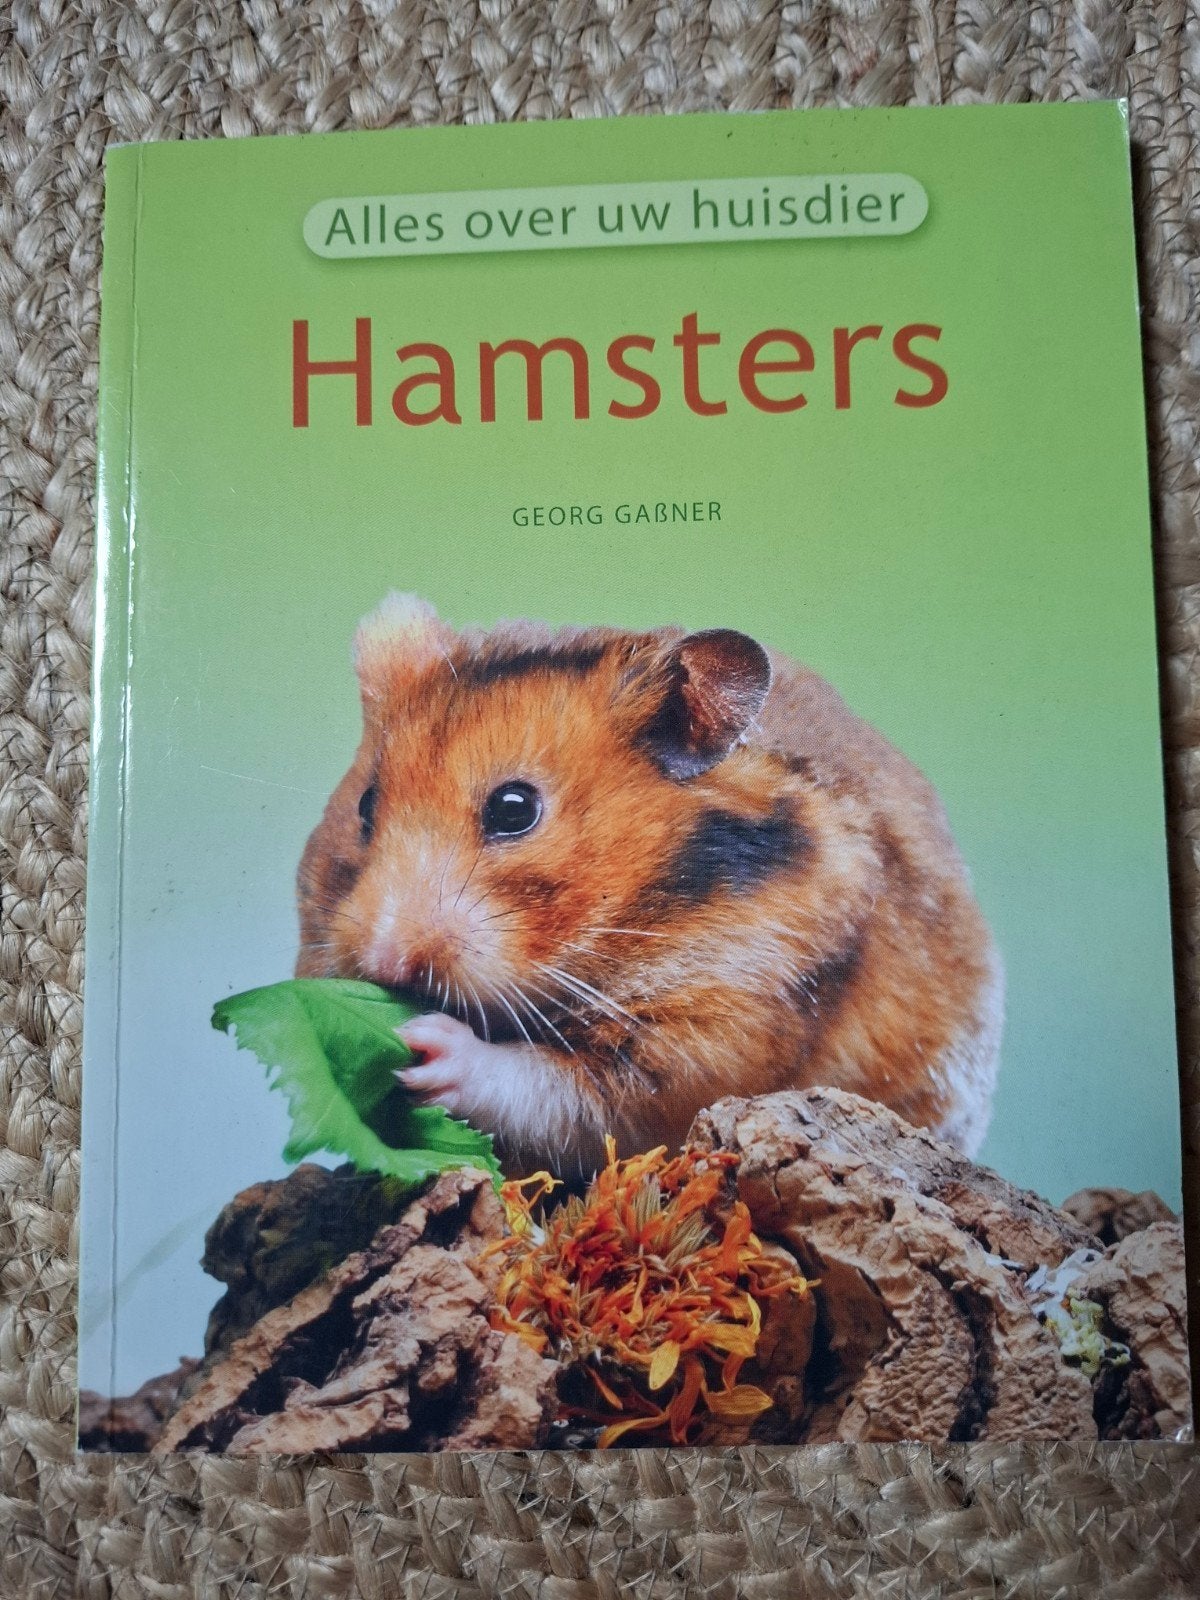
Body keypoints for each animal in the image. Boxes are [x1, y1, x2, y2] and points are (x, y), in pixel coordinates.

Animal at [297, 593, 1003, 1181]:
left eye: (515, 809)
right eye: (365, 805)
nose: (384, 962)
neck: (637, 916)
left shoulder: (714, 1031)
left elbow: (560, 1095)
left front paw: (425, 1044)